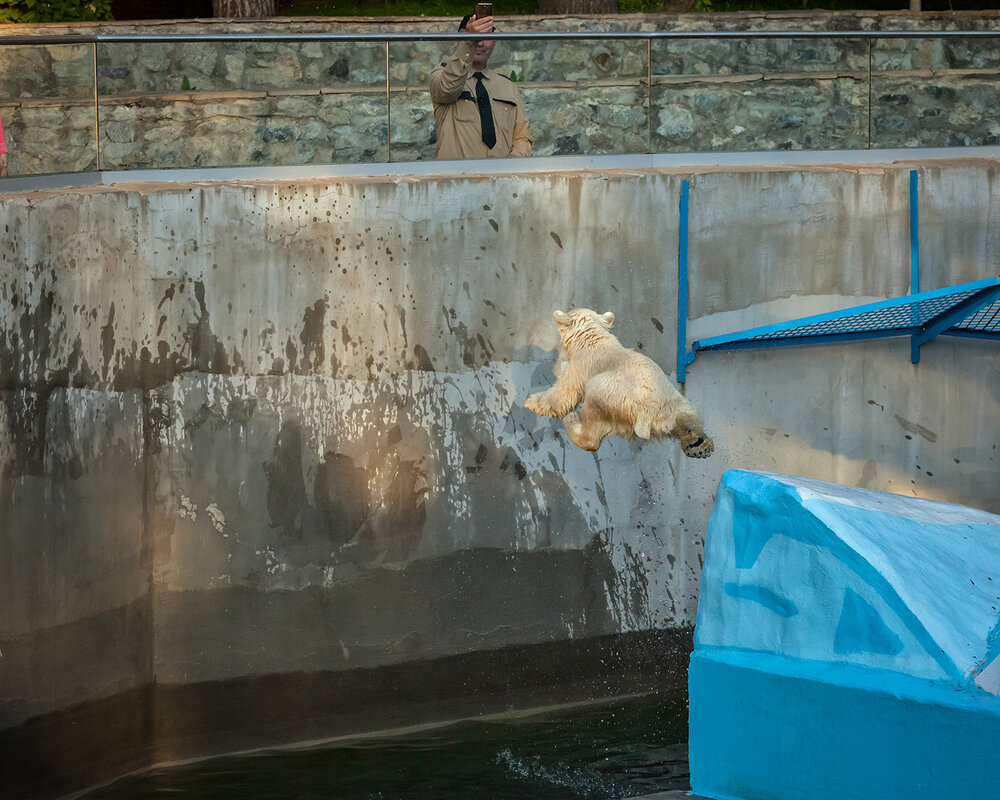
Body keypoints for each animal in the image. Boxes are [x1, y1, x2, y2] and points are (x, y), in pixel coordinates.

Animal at [524, 308, 712, 456]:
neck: (591, 338)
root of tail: (648, 413)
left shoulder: (583, 364)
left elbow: (562, 393)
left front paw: (532, 401)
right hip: (671, 400)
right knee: (686, 415)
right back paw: (697, 444)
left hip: (612, 394)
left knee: (593, 416)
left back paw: (572, 420)